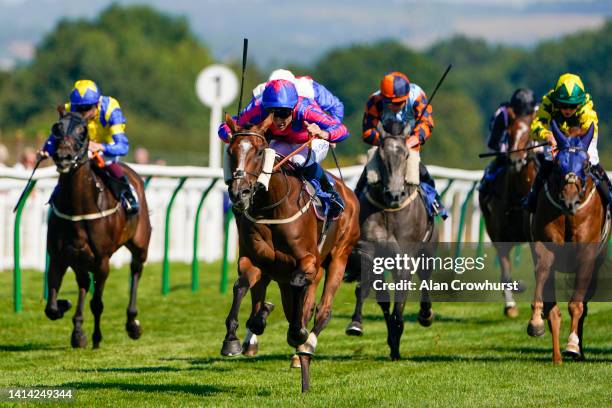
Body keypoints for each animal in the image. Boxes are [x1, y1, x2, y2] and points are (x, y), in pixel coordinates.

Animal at [43, 107, 152, 350]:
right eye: (56, 128)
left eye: (83, 132)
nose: (63, 157)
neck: (78, 208)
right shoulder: (59, 257)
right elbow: (51, 307)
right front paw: (65, 307)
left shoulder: (102, 261)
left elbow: (97, 303)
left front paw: (97, 337)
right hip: (79, 259)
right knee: (84, 283)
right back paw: (78, 331)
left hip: (140, 245)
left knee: (136, 271)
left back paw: (133, 323)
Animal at [222, 112, 360, 392]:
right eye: (231, 151)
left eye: (259, 151)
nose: (239, 193)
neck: (272, 206)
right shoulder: (254, 260)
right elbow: (241, 286)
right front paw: (231, 339)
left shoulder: (307, 261)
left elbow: (301, 294)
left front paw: (298, 333)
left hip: (338, 257)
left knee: (322, 310)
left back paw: (305, 347)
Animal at [344, 124, 436, 360]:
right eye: (381, 156)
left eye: (406, 155)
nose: (395, 194)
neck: (389, 211)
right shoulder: (368, 250)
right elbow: (370, 290)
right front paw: (356, 324)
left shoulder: (405, 255)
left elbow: (401, 297)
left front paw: (398, 329)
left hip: (427, 251)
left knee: (425, 279)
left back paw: (425, 315)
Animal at [478, 111, 536, 318]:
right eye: (508, 133)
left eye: (528, 134)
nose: (515, 159)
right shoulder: (498, 237)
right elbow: (505, 274)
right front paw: (511, 305)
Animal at [524, 121, 608, 364]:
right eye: (558, 164)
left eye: (586, 165)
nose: (570, 200)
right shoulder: (545, 246)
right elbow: (543, 275)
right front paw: (535, 322)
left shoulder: (587, 254)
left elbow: (577, 304)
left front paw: (572, 344)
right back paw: (557, 356)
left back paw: (577, 350)